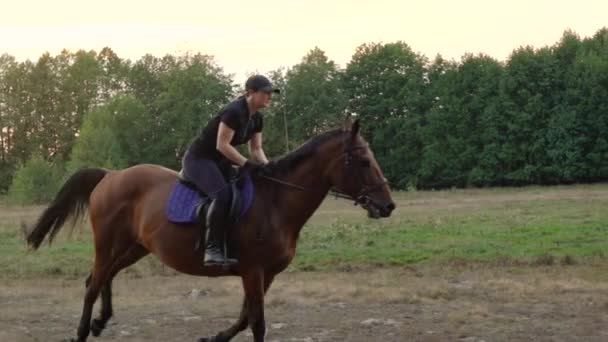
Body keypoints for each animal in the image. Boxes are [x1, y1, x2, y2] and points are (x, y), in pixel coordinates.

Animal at [26, 119, 394, 340]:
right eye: (363, 161)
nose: (387, 205)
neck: (276, 203)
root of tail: (111, 175)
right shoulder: (253, 270)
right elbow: (257, 322)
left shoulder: (265, 274)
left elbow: (245, 317)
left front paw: (215, 337)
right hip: (107, 243)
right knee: (93, 282)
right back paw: (82, 331)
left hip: (134, 246)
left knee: (105, 277)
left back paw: (101, 321)